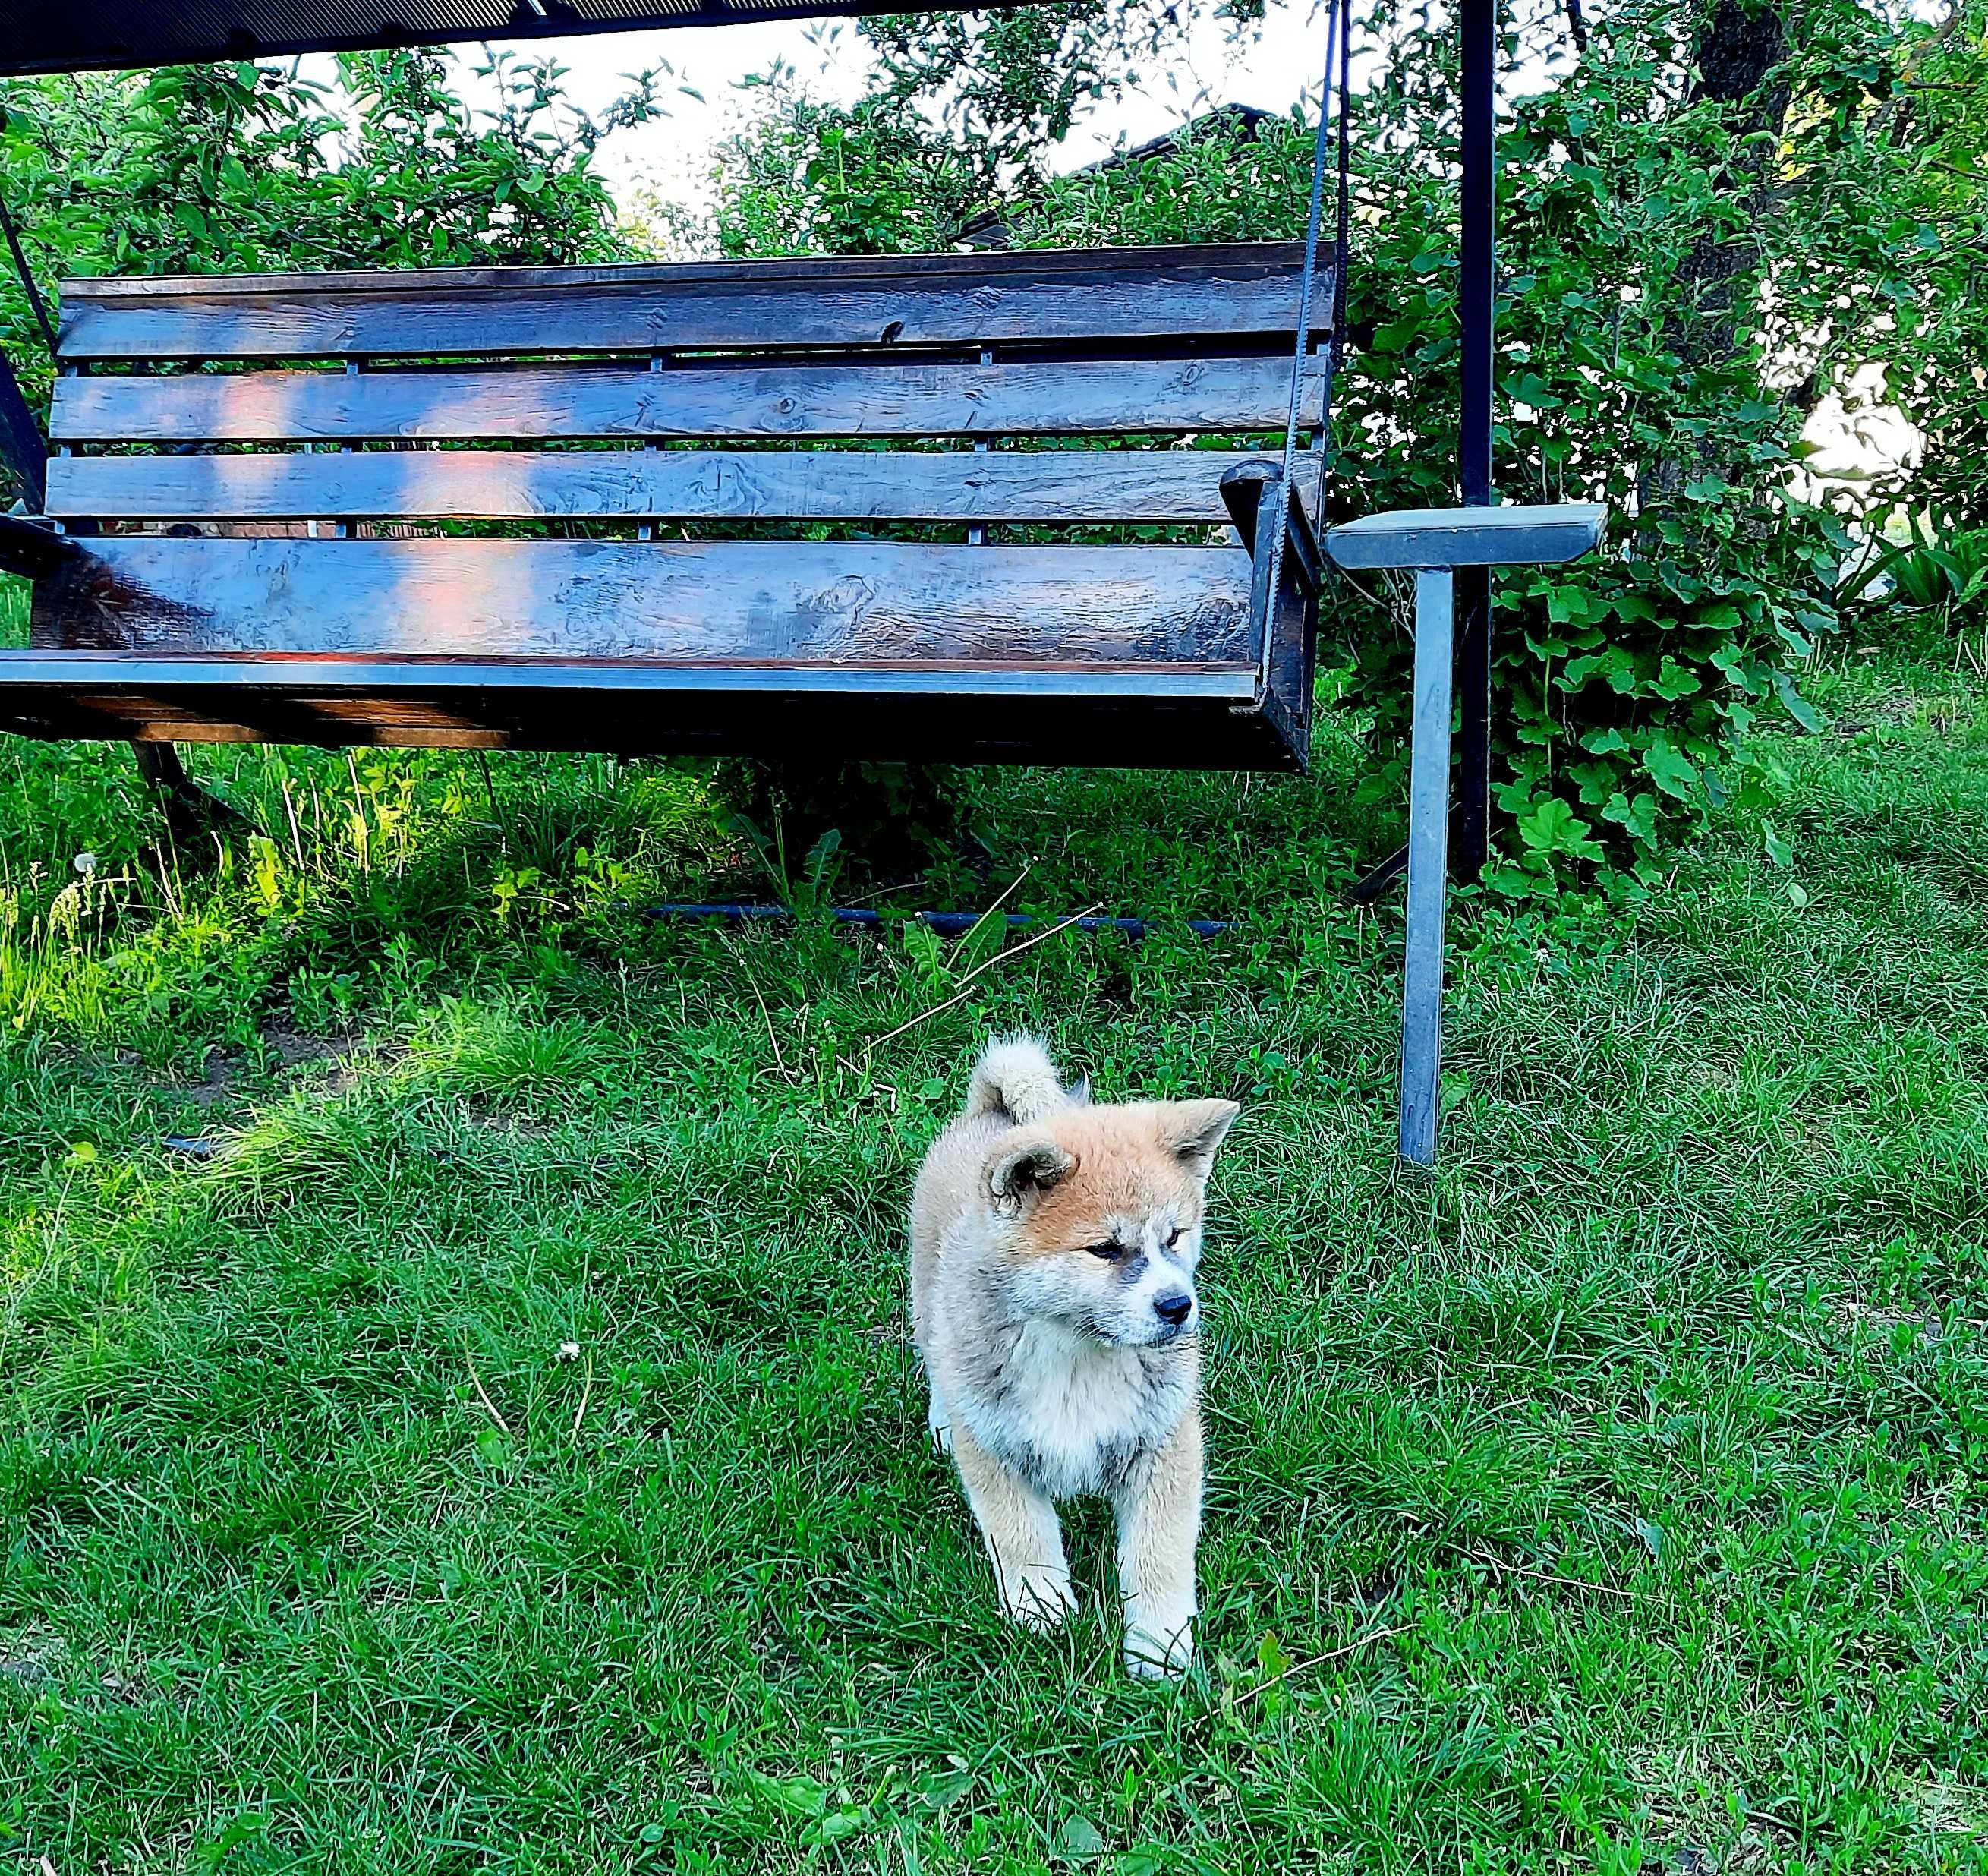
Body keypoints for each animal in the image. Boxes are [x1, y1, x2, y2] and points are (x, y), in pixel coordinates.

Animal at [910, 1034, 1232, 1679]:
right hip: (926, 1289)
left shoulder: (1162, 1443)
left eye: (1174, 1236)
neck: (1079, 1354)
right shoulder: (996, 1446)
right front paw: (1042, 1611)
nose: (1177, 1305)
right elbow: (1022, 1536)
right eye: (1104, 1249)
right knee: (935, 1353)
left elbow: (1158, 1552)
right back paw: (940, 1417)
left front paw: (1159, 1645)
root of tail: (991, 1112)